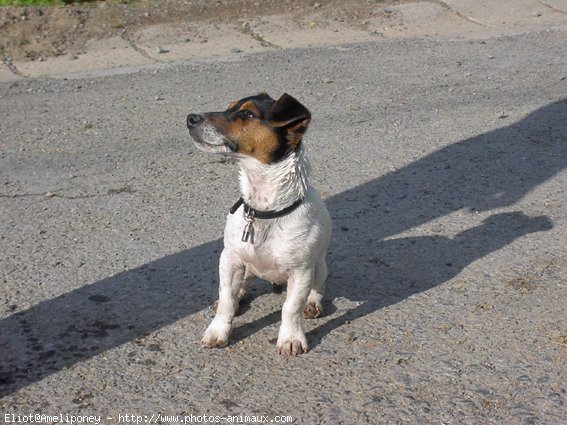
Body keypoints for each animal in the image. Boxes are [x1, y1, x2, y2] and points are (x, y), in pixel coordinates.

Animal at [186, 93, 332, 354]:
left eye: (248, 114)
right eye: (228, 107)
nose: (190, 118)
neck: (265, 212)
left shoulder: (301, 270)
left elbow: (291, 307)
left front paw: (291, 338)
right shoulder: (229, 258)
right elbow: (227, 299)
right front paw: (218, 331)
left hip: (319, 266)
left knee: (318, 287)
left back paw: (313, 302)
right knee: (238, 287)